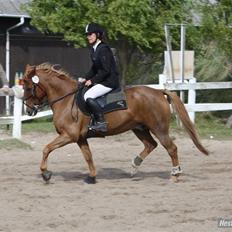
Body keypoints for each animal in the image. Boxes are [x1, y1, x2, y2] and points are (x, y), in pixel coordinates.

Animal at [23, 63, 208, 183]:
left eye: (28, 87)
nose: (29, 111)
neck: (66, 99)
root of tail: (158, 91)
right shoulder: (80, 138)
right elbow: (88, 156)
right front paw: (92, 177)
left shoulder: (69, 135)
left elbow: (46, 149)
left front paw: (46, 174)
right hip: (139, 128)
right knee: (151, 145)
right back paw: (134, 167)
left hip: (159, 129)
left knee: (171, 149)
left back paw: (174, 175)